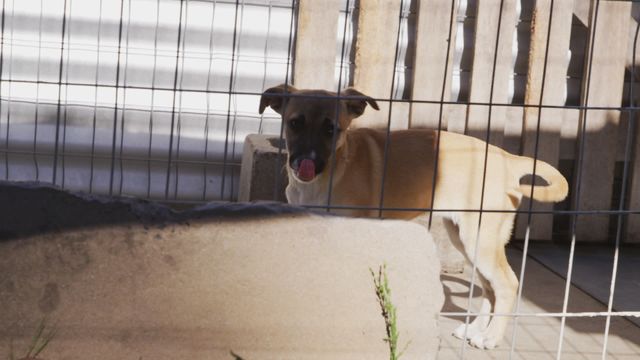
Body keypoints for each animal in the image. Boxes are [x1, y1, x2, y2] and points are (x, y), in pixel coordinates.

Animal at [258, 84, 568, 348]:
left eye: (332, 129)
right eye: (294, 123)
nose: (305, 163)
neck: (331, 172)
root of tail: (507, 158)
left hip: (480, 238)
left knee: (506, 284)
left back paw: (490, 337)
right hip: (466, 239)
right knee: (489, 287)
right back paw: (476, 330)